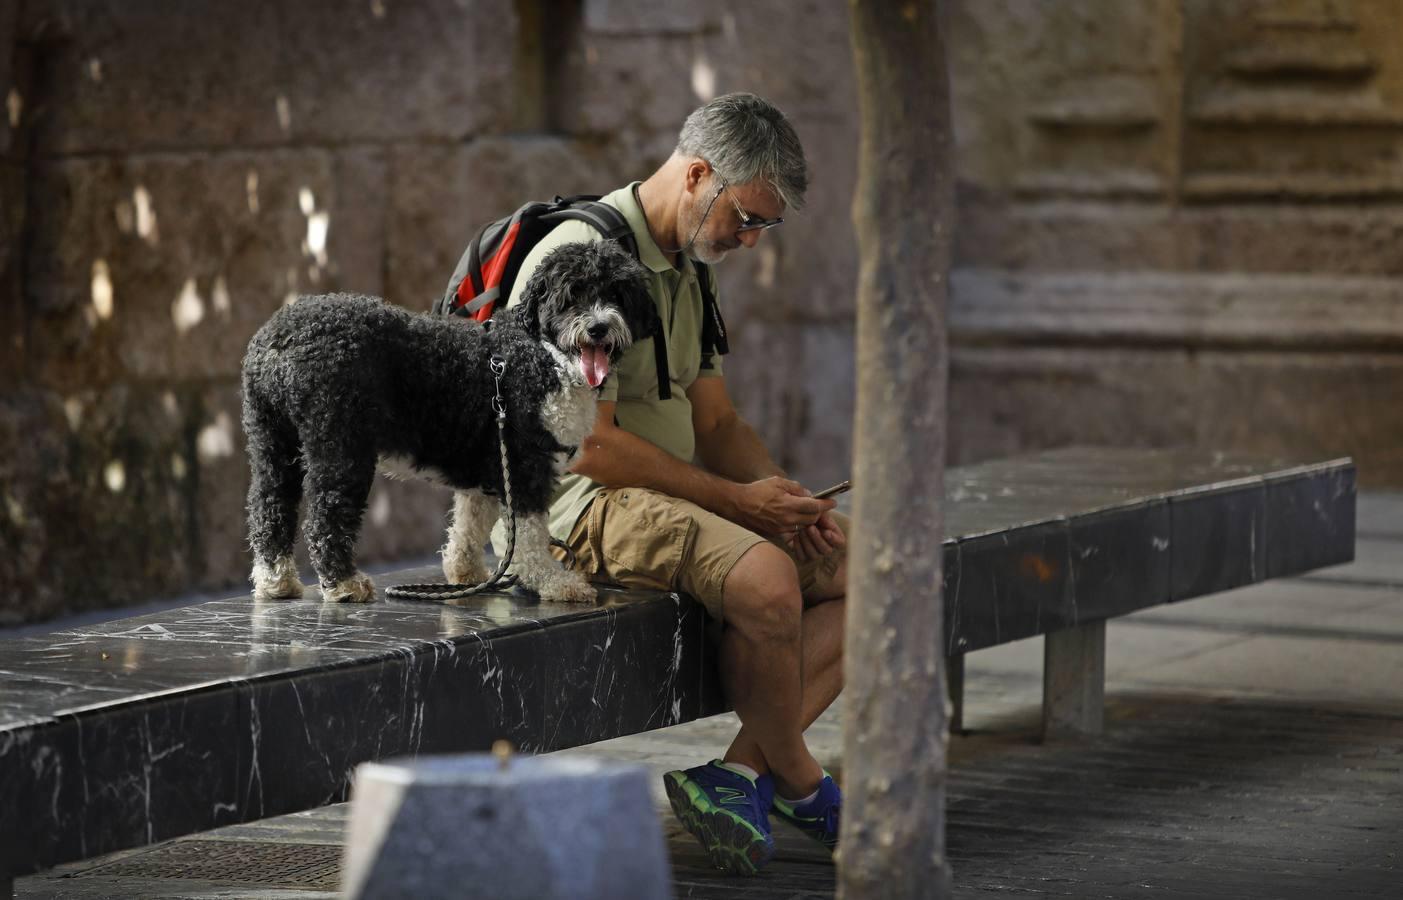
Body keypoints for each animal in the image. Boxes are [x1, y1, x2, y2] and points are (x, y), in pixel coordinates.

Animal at [239, 240, 650, 603]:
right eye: (571, 294)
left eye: (617, 294)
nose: (598, 327)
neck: (541, 356)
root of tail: (278, 338)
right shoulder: (523, 464)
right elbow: (530, 536)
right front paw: (553, 583)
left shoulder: (490, 461)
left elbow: (470, 523)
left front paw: (466, 574)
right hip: (341, 444)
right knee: (326, 515)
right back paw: (343, 584)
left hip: (271, 438)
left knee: (269, 505)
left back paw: (276, 582)